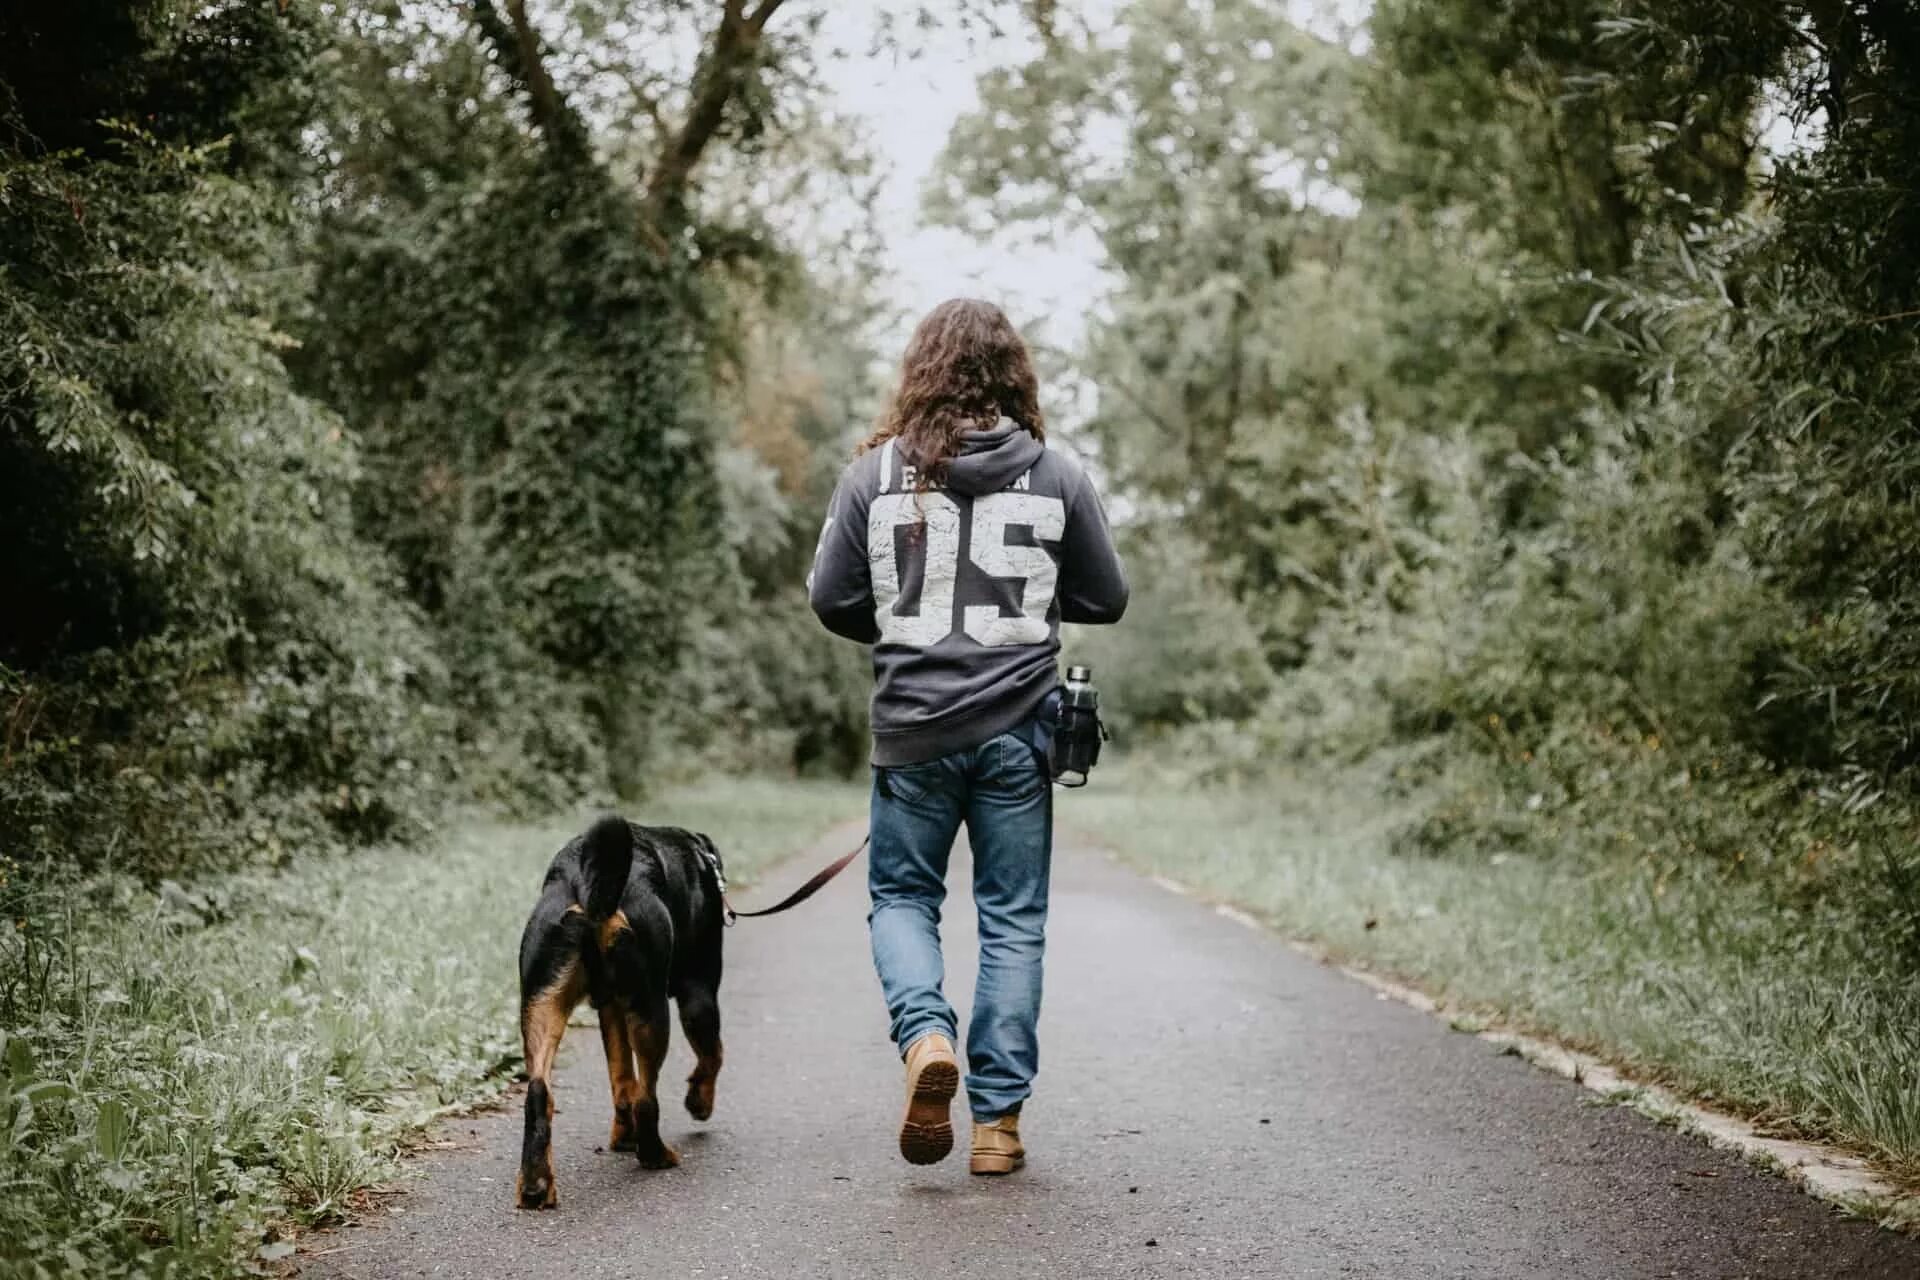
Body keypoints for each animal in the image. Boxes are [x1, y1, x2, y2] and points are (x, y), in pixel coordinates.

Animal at [514, 817, 721, 1205]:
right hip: (651, 1006)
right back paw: (654, 1154)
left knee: (539, 1091)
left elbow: (621, 1077)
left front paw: (624, 1135)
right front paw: (699, 1101)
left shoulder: (609, 1007)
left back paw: (535, 1183)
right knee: (647, 1095)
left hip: (541, 1002)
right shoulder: (699, 990)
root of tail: (583, 879)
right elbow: (712, 1055)